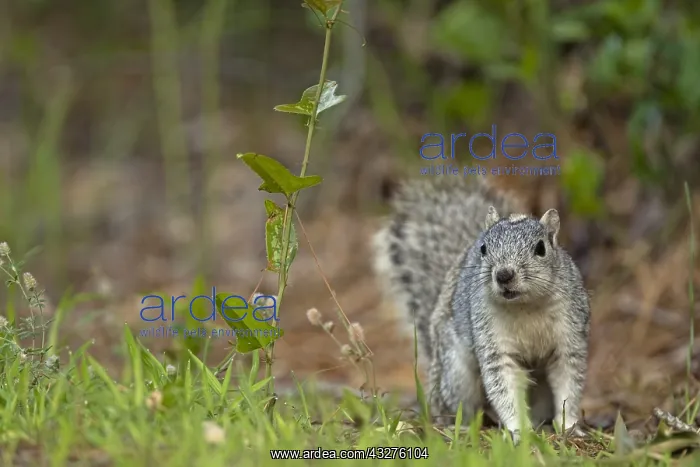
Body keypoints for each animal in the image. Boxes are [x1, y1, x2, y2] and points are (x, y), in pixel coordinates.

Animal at [372, 176, 590, 441]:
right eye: (484, 248)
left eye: (541, 248)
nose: (504, 275)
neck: (525, 306)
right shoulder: (493, 342)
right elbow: (504, 387)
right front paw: (518, 429)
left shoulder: (569, 337)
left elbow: (569, 382)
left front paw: (570, 425)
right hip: (455, 371)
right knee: (458, 405)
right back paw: (464, 426)